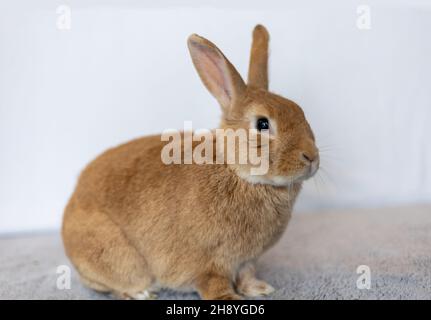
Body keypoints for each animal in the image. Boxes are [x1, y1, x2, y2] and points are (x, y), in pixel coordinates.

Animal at [63, 25, 320, 300]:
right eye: (262, 123)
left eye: (301, 111)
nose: (312, 157)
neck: (234, 169)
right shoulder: (209, 262)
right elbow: (213, 282)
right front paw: (229, 298)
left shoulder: (247, 260)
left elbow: (247, 274)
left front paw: (260, 289)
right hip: (117, 258)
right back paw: (141, 293)